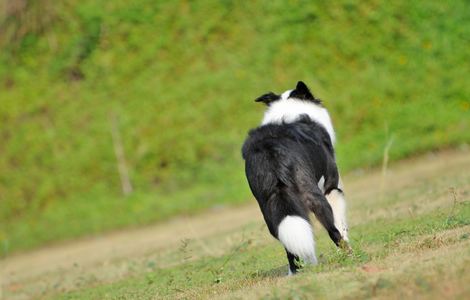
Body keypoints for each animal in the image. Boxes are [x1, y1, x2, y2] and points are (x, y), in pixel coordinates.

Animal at [242, 80, 348, 274]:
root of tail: (271, 153)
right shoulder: (331, 187)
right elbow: (340, 224)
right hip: (314, 197)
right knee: (332, 231)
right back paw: (348, 253)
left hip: (271, 210)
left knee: (291, 242)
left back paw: (296, 272)